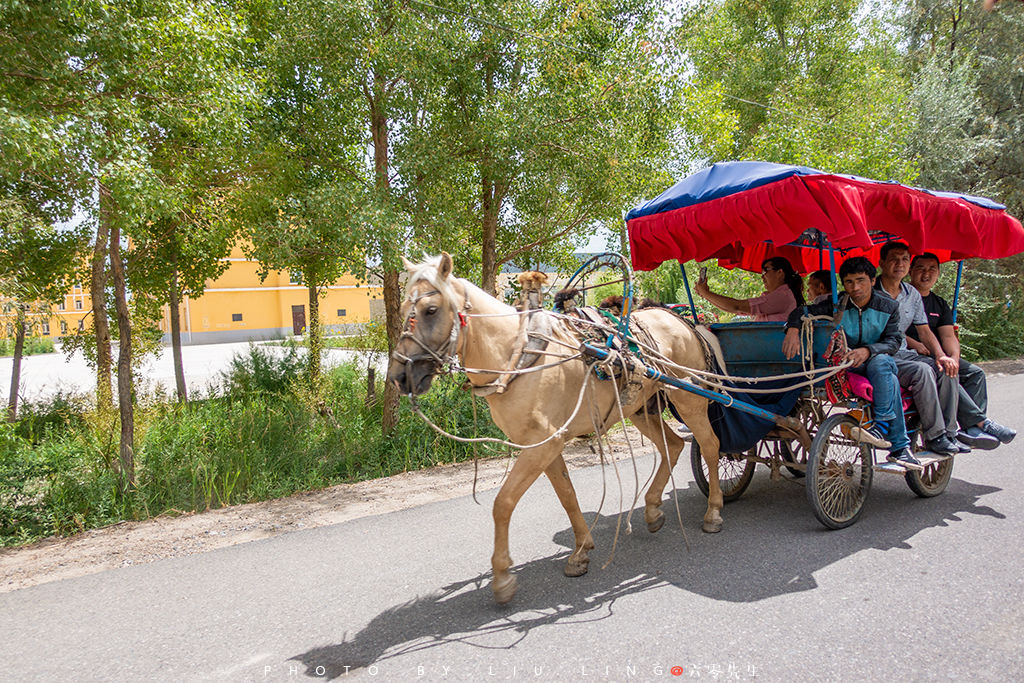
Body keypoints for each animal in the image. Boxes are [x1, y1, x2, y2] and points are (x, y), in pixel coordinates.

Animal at [385, 252, 729, 602]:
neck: (517, 356)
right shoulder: (543, 445)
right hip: (639, 408)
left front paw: (503, 577)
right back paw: (653, 509)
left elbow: (503, 503)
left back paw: (714, 511)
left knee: (710, 446)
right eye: (404, 308)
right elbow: (566, 495)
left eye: (430, 310)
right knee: (673, 445)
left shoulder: (543, 445)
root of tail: (686, 321)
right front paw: (581, 550)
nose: (399, 376)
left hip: (689, 398)